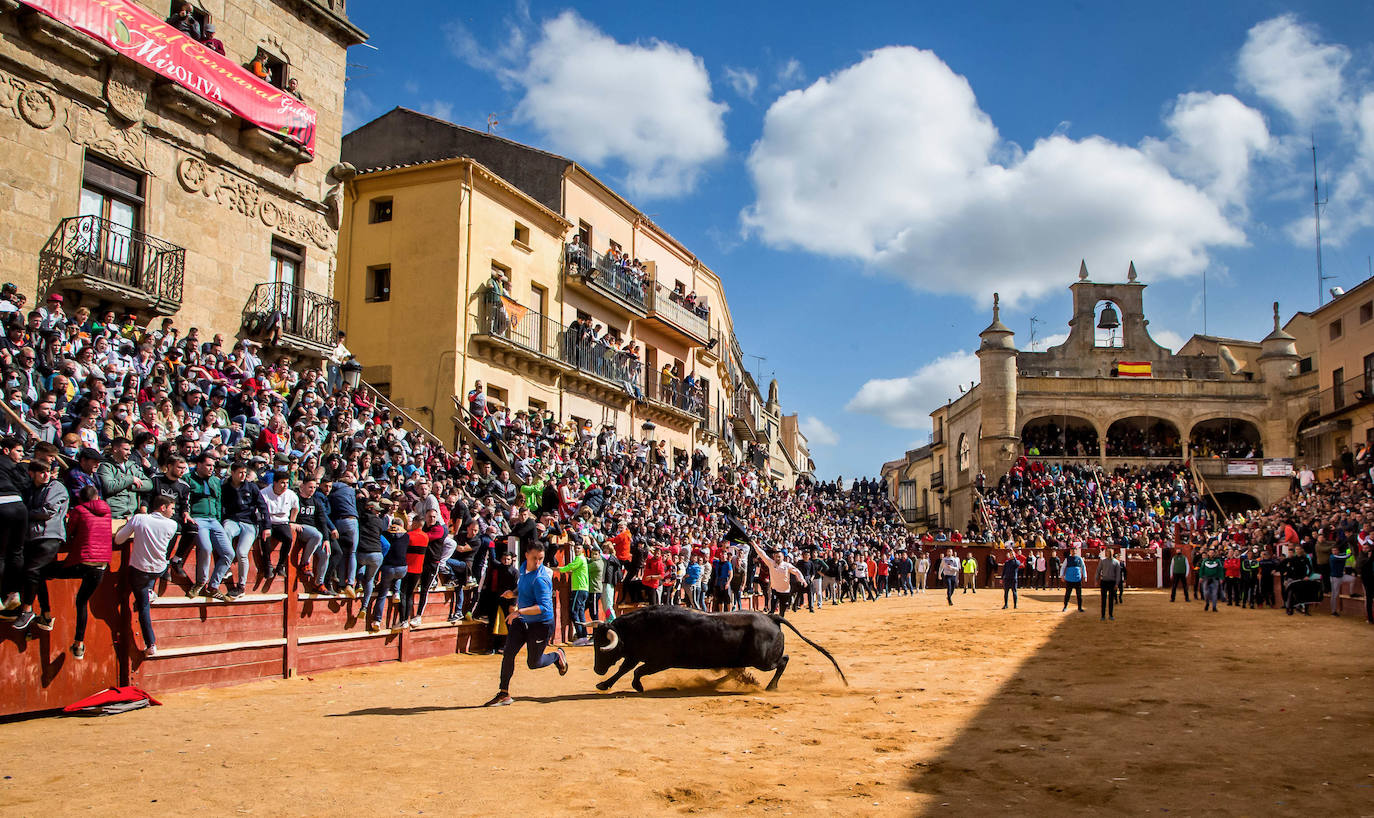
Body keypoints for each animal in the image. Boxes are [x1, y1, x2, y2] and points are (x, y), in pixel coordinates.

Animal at [590, 607, 846, 690]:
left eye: (603, 646)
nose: (596, 670)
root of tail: (771, 617)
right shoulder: (634, 654)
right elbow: (624, 669)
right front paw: (603, 684)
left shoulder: (660, 661)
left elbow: (636, 671)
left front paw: (638, 686)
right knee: (737, 670)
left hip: (763, 661)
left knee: (784, 660)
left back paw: (770, 687)